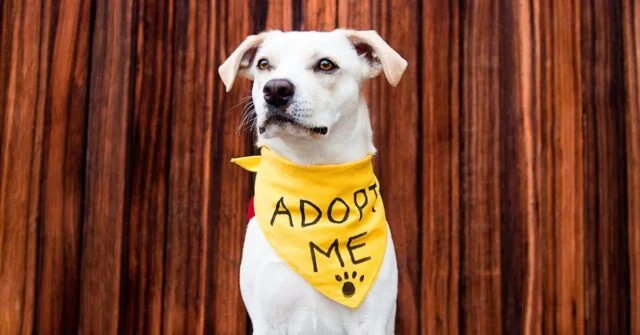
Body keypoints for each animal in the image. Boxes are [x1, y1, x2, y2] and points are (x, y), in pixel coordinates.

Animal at [220, 29, 408, 335]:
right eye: (263, 64)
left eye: (325, 65)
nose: (275, 89)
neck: (311, 172)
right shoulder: (268, 318)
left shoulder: (372, 319)